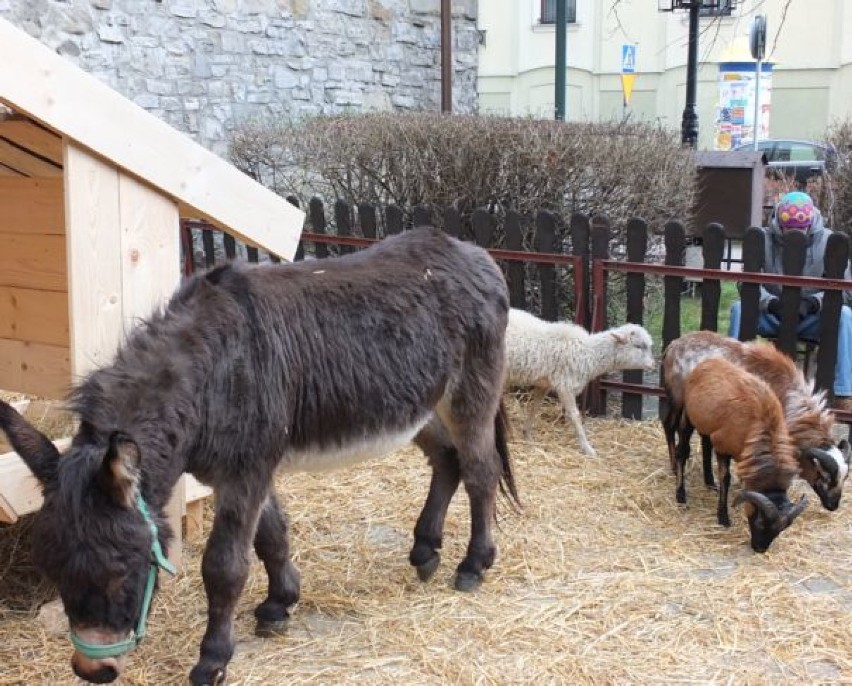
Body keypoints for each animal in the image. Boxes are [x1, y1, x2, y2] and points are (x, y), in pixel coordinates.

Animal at [502, 310, 656, 456]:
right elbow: (575, 415)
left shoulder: (544, 383)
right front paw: (587, 448)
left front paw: (527, 435)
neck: (588, 353)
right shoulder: (565, 386)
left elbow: (535, 407)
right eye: (638, 346)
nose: (653, 364)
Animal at [664, 330, 848, 512]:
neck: (791, 400)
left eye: (845, 478)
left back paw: (710, 482)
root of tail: (673, 345)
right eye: (823, 475)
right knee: (669, 426)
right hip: (678, 399)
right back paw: (674, 468)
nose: (833, 505)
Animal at [684, 358, 808, 556]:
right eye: (760, 522)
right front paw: (723, 518)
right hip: (689, 417)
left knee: (705, 445)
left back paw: (709, 483)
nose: (760, 549)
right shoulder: (722, 447)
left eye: (781, 530)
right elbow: (726, 478)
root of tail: (708, 361)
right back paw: (681, 495)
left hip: (706, 428)